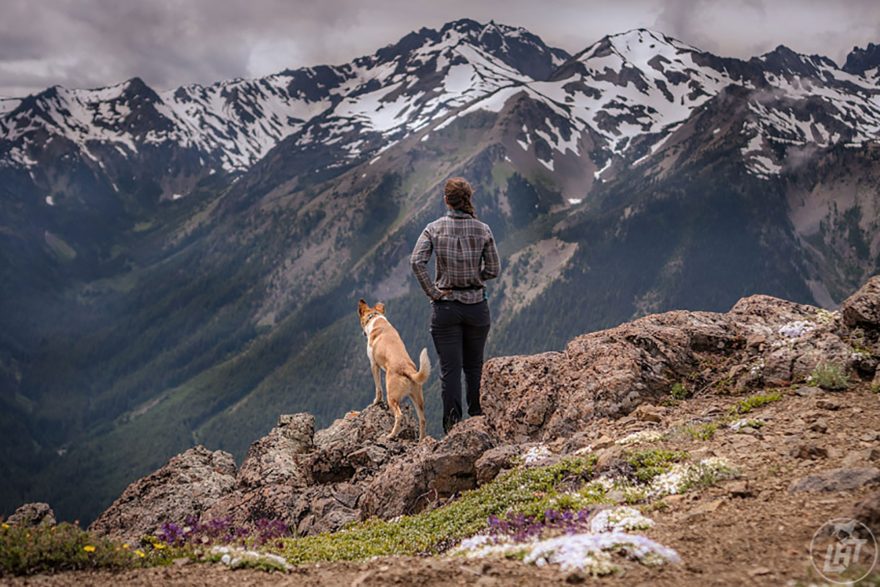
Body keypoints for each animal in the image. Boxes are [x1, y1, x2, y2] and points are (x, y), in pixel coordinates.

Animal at [356, 298, 428, 440]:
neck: (375, 318)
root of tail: (407, 369)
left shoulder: (374, 365)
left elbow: (378, 389)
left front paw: (375, 402)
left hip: (392, 396)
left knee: (399, 415)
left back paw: (391, 435)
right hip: (417, 398)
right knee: (422, 419)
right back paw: (421, 440)